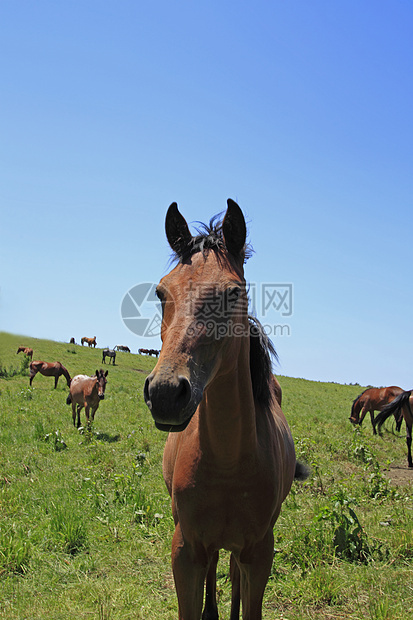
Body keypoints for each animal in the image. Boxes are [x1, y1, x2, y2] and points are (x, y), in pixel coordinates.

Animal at [143, 201, 304, 616]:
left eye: (233, 293)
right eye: (161, 292)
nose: (166, 392)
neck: (228, 462)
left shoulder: (260, 553)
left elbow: (248, 599)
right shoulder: (185, 550)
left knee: (232, 572)